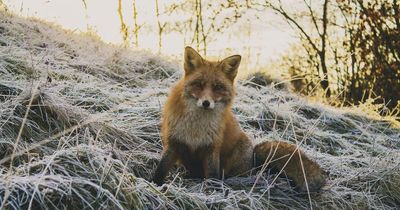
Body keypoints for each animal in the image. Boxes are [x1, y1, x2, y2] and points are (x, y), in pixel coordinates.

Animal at [152, 46, 326, 192]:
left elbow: (212, 175)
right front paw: (155, 185)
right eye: (199, 84)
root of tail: (254, 161)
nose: (206, 103)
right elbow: (161, 169)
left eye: (217, 87)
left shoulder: (212, 148)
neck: (196, 127)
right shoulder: (174, 142)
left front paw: (212, 191)